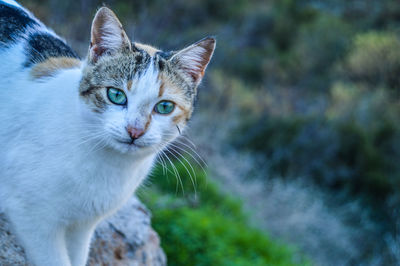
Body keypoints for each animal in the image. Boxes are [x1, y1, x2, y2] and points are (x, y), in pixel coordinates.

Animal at [0, 1, 216, 264]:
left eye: (165, 107)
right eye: (116, 95)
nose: (135, 130)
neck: (109, 166)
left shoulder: (82, 226)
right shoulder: (32, 218)